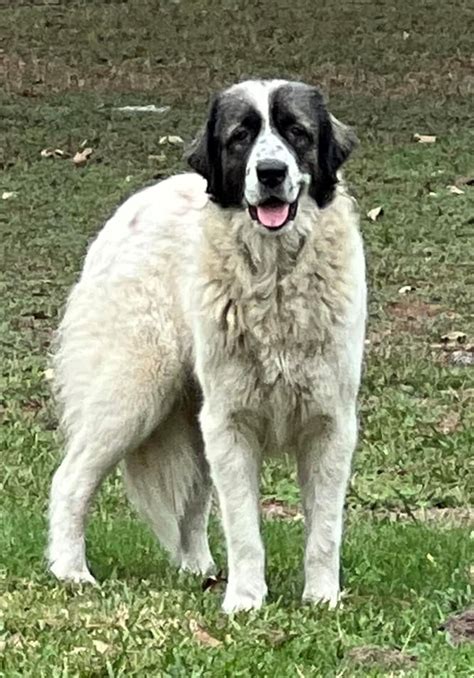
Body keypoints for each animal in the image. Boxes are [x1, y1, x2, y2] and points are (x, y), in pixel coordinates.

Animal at [47, 79, 366, 616]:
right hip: (133, 395)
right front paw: (246, 602)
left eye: (297, 132)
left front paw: (321, 599)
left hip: (189, 417)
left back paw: (197, 568)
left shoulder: (330, 423)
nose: (271, 172)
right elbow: (244, 528)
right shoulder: (231, 422)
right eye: (241, 137)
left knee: (191, 501)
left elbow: (325, 529)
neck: (274, 276)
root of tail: (131, 207)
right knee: (70, 479)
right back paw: (71, 572)